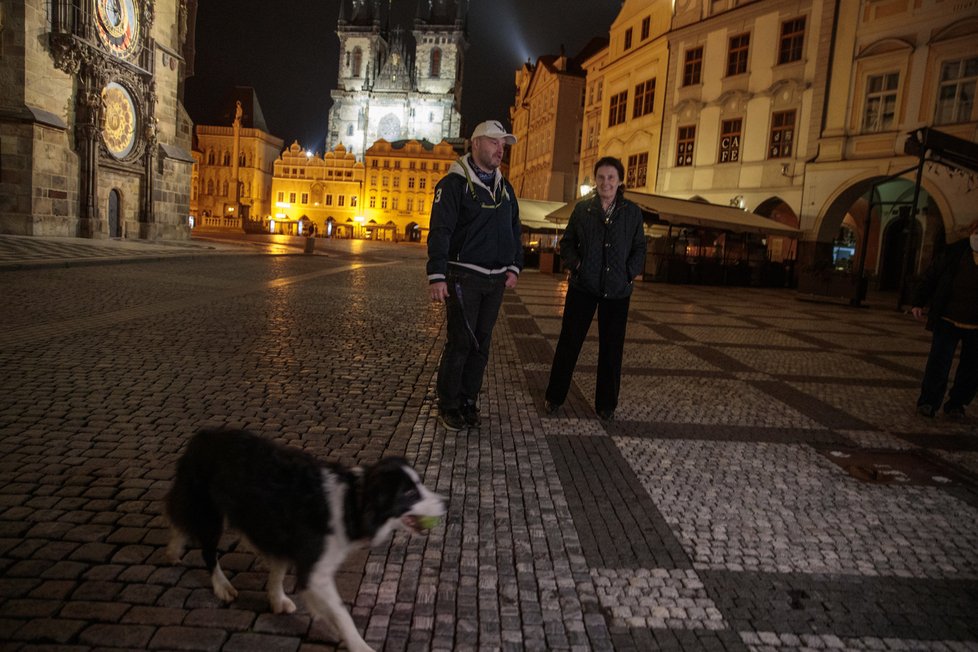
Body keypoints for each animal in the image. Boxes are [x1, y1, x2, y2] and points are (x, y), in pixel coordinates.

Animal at [166, 428, 444, 652]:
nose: (445, 502)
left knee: (180, 520)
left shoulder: (286, 541)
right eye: (410, 493)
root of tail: (201, 435)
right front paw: (358, 644)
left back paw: (173, 549)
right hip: (211, 514)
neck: (352, 502)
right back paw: (221, 585)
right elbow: (341, 612)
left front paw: (277, 600)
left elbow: (279, 571)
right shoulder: (315, 571)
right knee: (206, 549)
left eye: (420, 484)